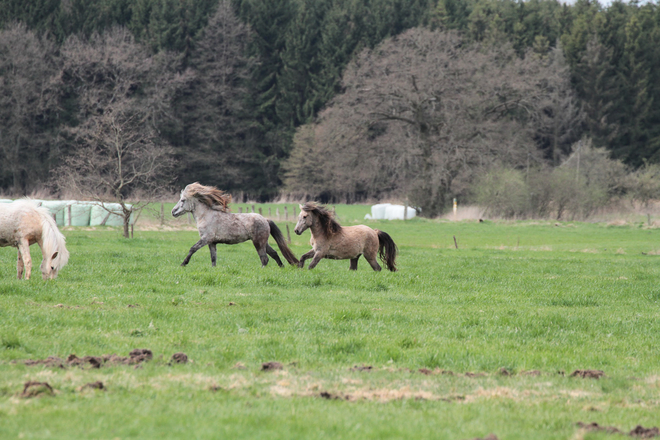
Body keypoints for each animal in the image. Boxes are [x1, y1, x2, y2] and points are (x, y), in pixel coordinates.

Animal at [170, 183, 300, 266]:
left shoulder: (206, 238)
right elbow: (213, 258)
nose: (173, 212)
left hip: (258, 242)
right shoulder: (212, 242)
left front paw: (183, 264)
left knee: (264, 259)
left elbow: (192, 249)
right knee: (274, 254)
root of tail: (265, 220)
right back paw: (282, 267)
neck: (206, 216)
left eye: (182, 200)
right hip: (263, 242)